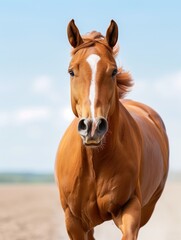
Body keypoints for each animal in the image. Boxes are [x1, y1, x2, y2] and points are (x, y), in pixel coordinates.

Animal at [54, 19, 168, 239]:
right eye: (71, 71)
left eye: (113, 71)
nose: (92, 126)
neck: (94, 163)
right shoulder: (73, 220)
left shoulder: (129, 208)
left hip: (148, 208)